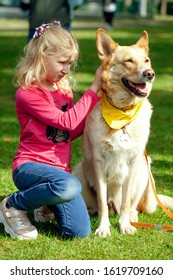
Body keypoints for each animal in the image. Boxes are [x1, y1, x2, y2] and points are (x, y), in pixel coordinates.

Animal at [75, 29, 173, 237]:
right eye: (129, 61)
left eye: (146, 60)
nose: (150, 74)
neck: (121, 113)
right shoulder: (98, 162)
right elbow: (102, 203)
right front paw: (103, 227)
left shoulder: (134, 161)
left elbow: (127, 201)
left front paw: (125, 225)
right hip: (80, 168)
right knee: (102, 205)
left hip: (146, 171)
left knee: (133, 206)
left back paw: (132, 216)